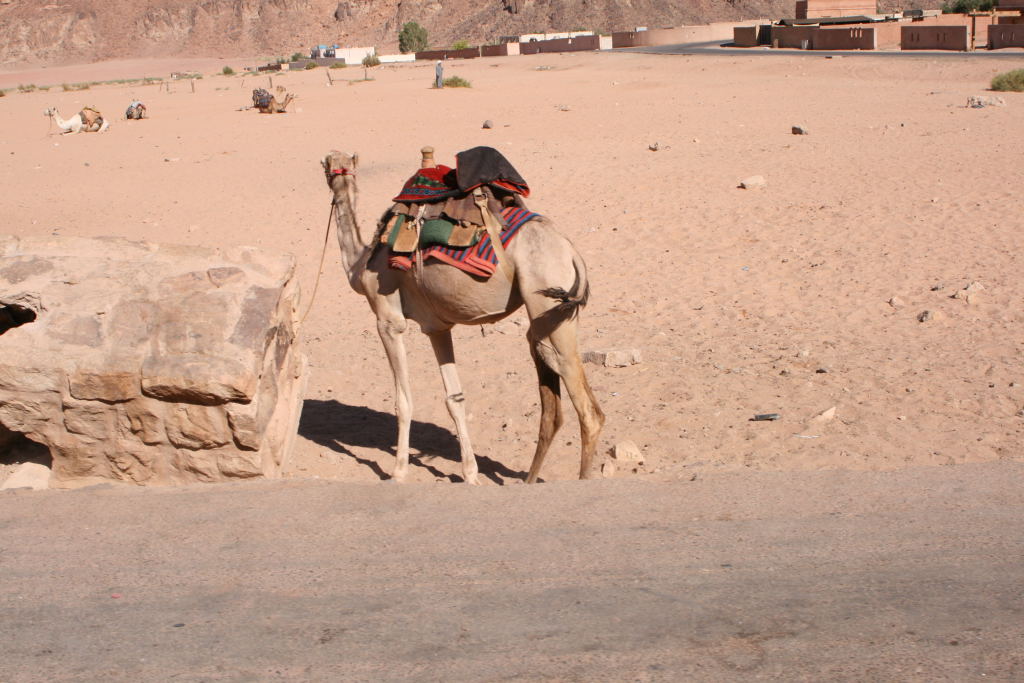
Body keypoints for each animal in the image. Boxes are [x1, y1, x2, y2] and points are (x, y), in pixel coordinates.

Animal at [323, 147, 602, 483]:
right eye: (331, 163)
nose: (335, 172)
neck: (361, 262)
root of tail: (570, 250)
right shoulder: (436, 327)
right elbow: (454, 398)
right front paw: (470, 473)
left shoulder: (388, 319)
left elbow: (403, 401)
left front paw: (398, 472)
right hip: (552, 314)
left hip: (547, 297)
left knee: (587, 410)